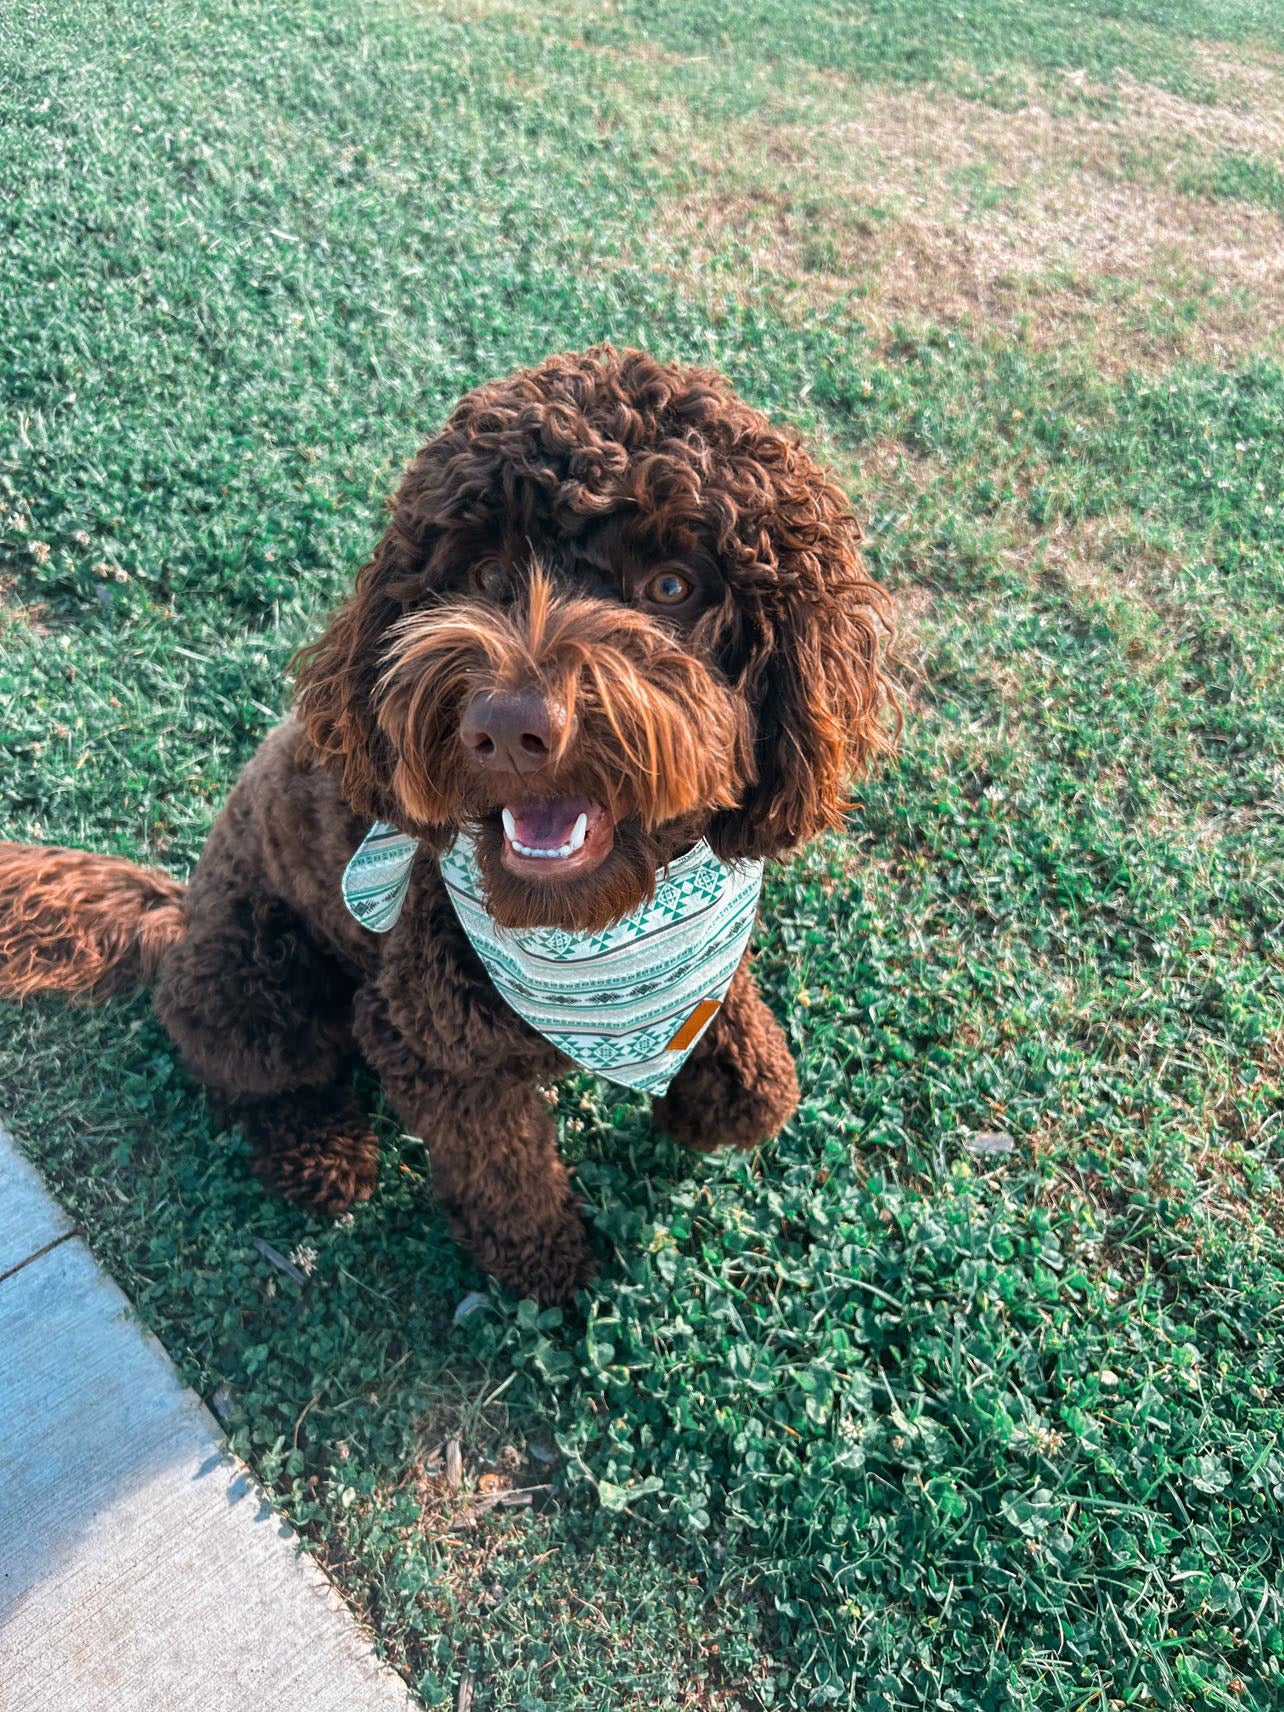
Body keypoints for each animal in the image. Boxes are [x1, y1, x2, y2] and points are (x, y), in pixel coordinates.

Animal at [0, 354, 897, 1301]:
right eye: (491, 575)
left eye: (672, 586)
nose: (508, 727)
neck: (593, 933)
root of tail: (174, 913)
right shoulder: (427, 1046)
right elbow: (502, 1170)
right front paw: (546, 1267)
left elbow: (758, 1077)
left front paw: (712, 1101)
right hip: (256, 982)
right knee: (251, 1077)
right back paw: (321, 1154)